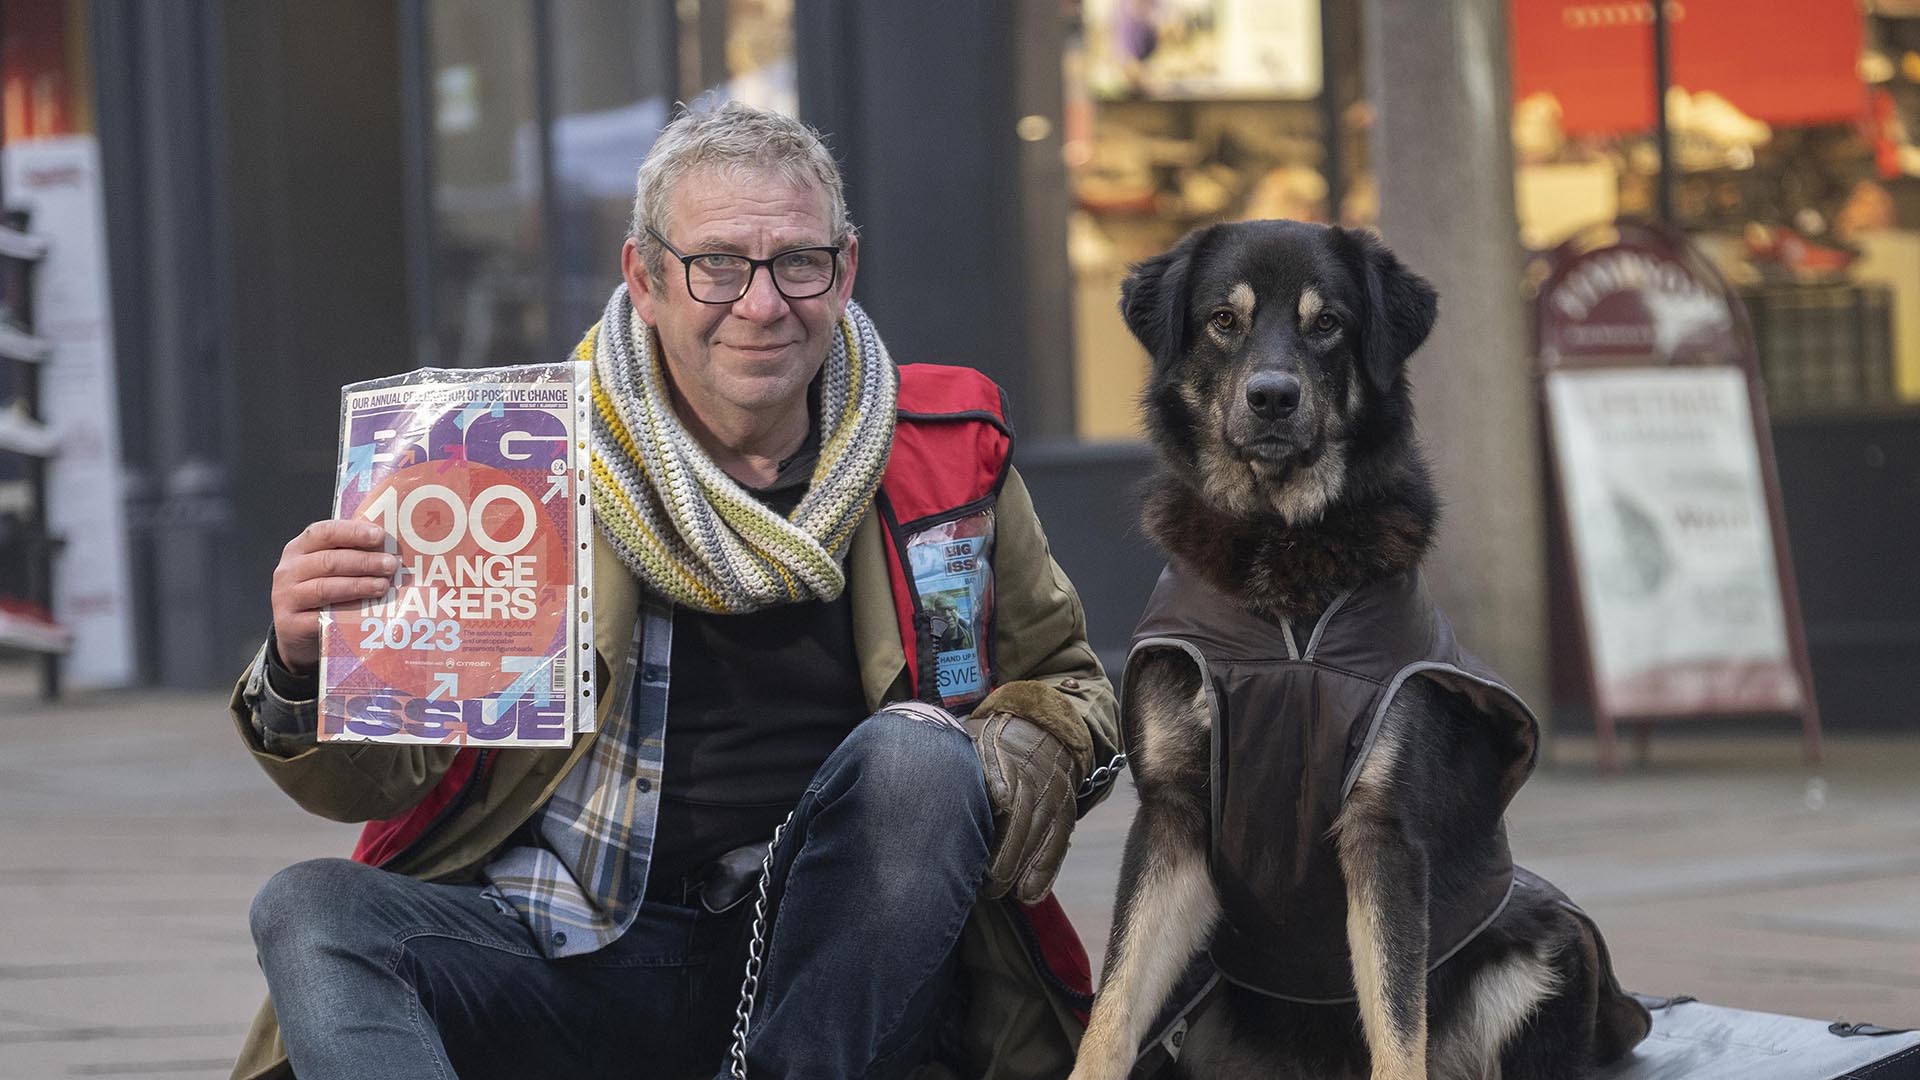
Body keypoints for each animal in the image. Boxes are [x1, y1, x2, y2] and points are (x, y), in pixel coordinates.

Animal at [1067, 220, 1651, 1076]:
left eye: (1329, 323)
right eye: (1222, 320)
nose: (1273, 397)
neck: (1285, 563)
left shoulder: (1384, 831)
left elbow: (1396, 1017)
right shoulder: (1170, 816)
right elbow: (1112, 1005)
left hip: (1552, 942)